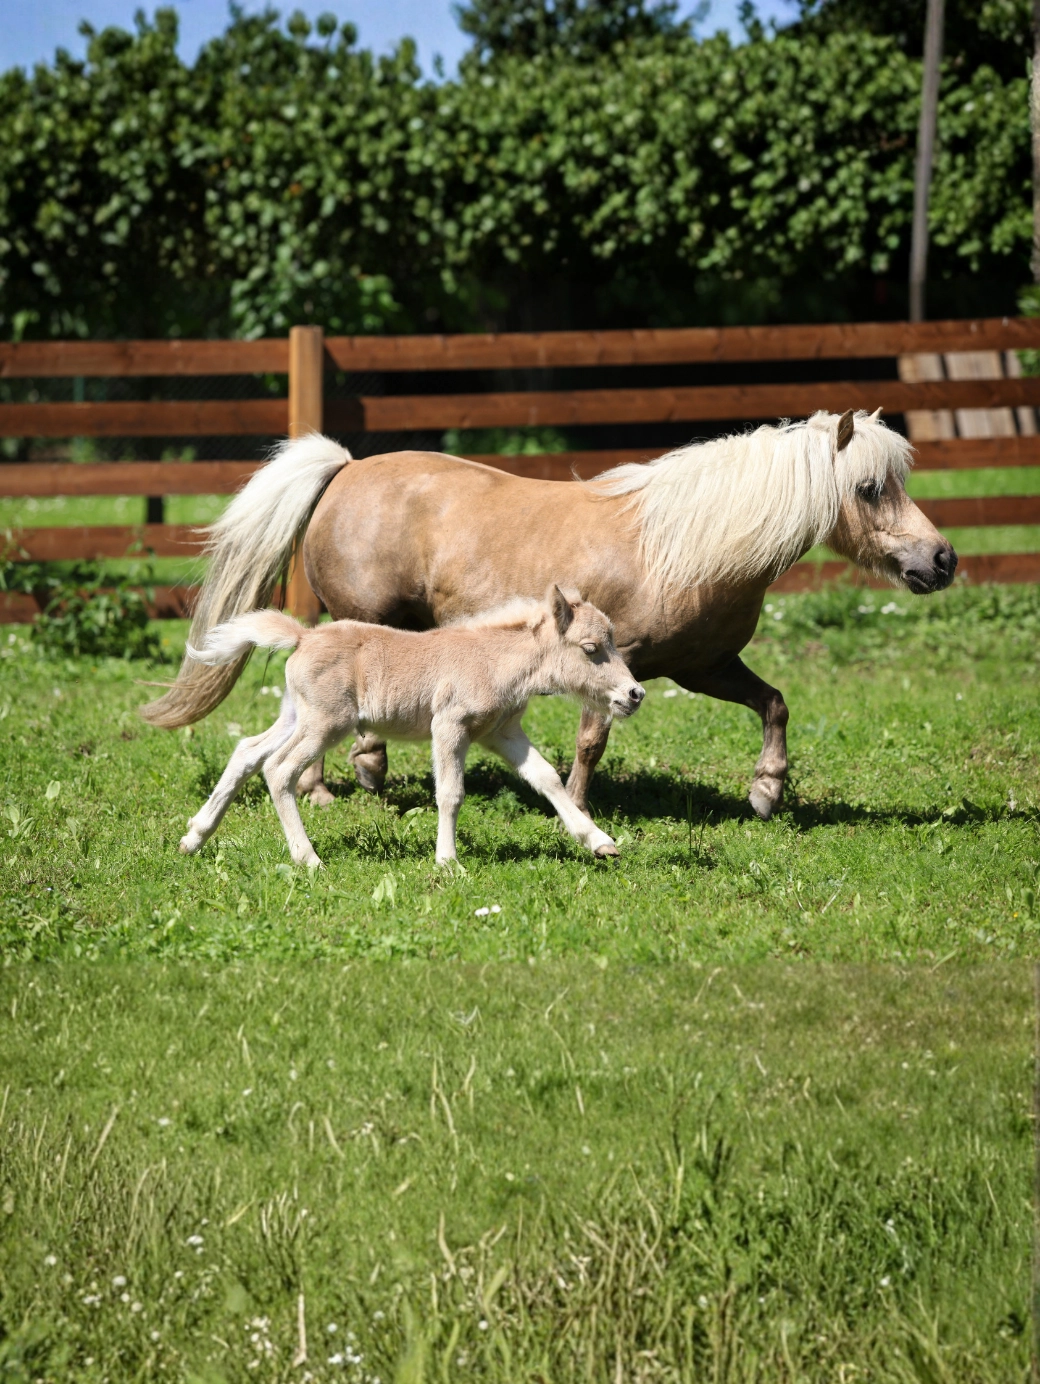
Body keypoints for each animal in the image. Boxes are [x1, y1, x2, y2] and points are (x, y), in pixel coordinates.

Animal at [142, 407, 956, 823]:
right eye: (870, 488)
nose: (942, 559)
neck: (683, 545)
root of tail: (345, 466)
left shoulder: (704, 666)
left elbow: (776, 704)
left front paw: (766, 791)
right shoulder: (616, 666)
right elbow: (592, 745)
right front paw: (579, 807)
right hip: (363, 620)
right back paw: (335, 781)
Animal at [178, 587, 644, 866]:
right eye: (591, 648)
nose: (635, 694)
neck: (495, 660)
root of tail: (303, 637)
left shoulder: (502, 733)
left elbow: (547, 778)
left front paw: (599, 841)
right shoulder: (450, 725)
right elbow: (451, 792)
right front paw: (448, 861)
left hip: (297, 714)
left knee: (247, 751)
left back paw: (194, 838)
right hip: (328, 723)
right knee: (278, 769)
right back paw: (308, 859)